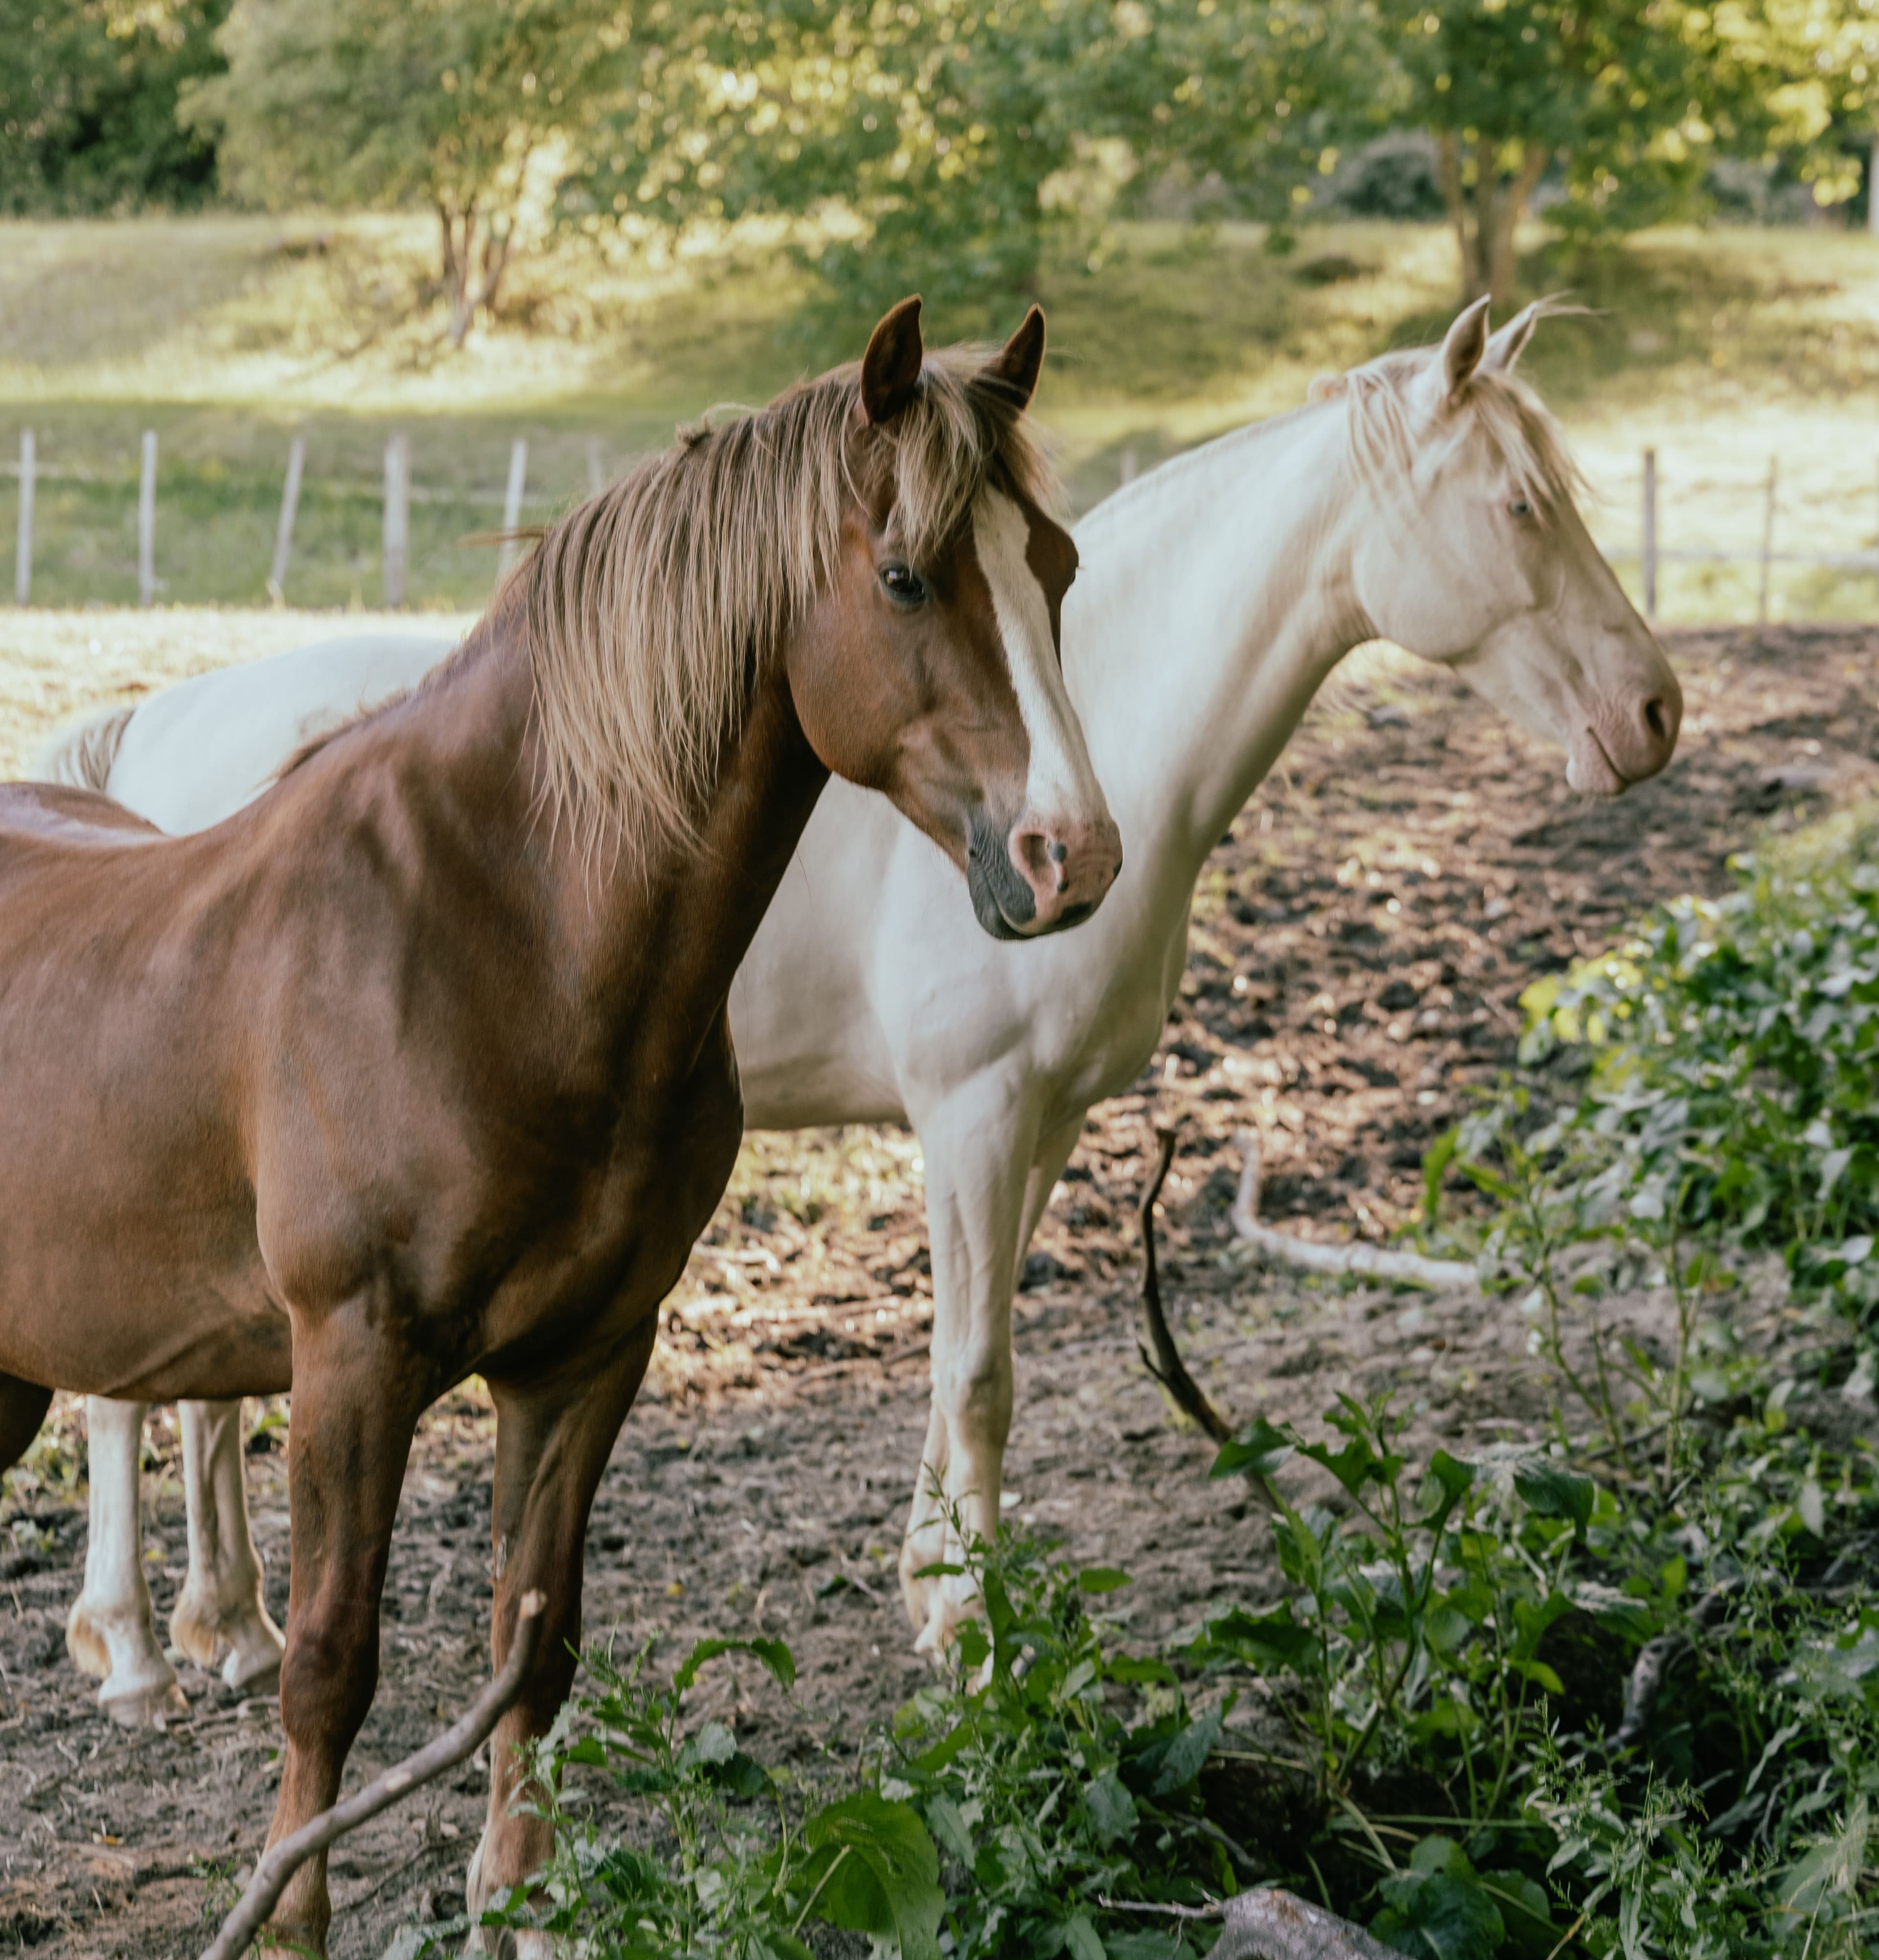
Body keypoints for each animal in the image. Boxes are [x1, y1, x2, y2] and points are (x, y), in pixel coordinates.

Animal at [0, 297, 1121, 1956]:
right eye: (909, 575)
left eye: (1054, 566)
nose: (1072, 857)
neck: (503, 938)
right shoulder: (355, 1357)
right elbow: (331, 1663)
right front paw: (291, 1913)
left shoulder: (588, 1352)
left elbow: (535, 1647)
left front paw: (521, 1905)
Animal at [48, 297, 1682, 1697]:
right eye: (1519, 507)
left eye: (1058, 570)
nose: (1653, 712)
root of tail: (162, 729)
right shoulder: (971, 1120)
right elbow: (977, 1369)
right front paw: (965, 1624)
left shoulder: (1036, 1131)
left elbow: (978, 1360)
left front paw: (938, 1577)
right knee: (131, 1392)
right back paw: (134, 1645)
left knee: (195, 1390)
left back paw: (231, 1625)